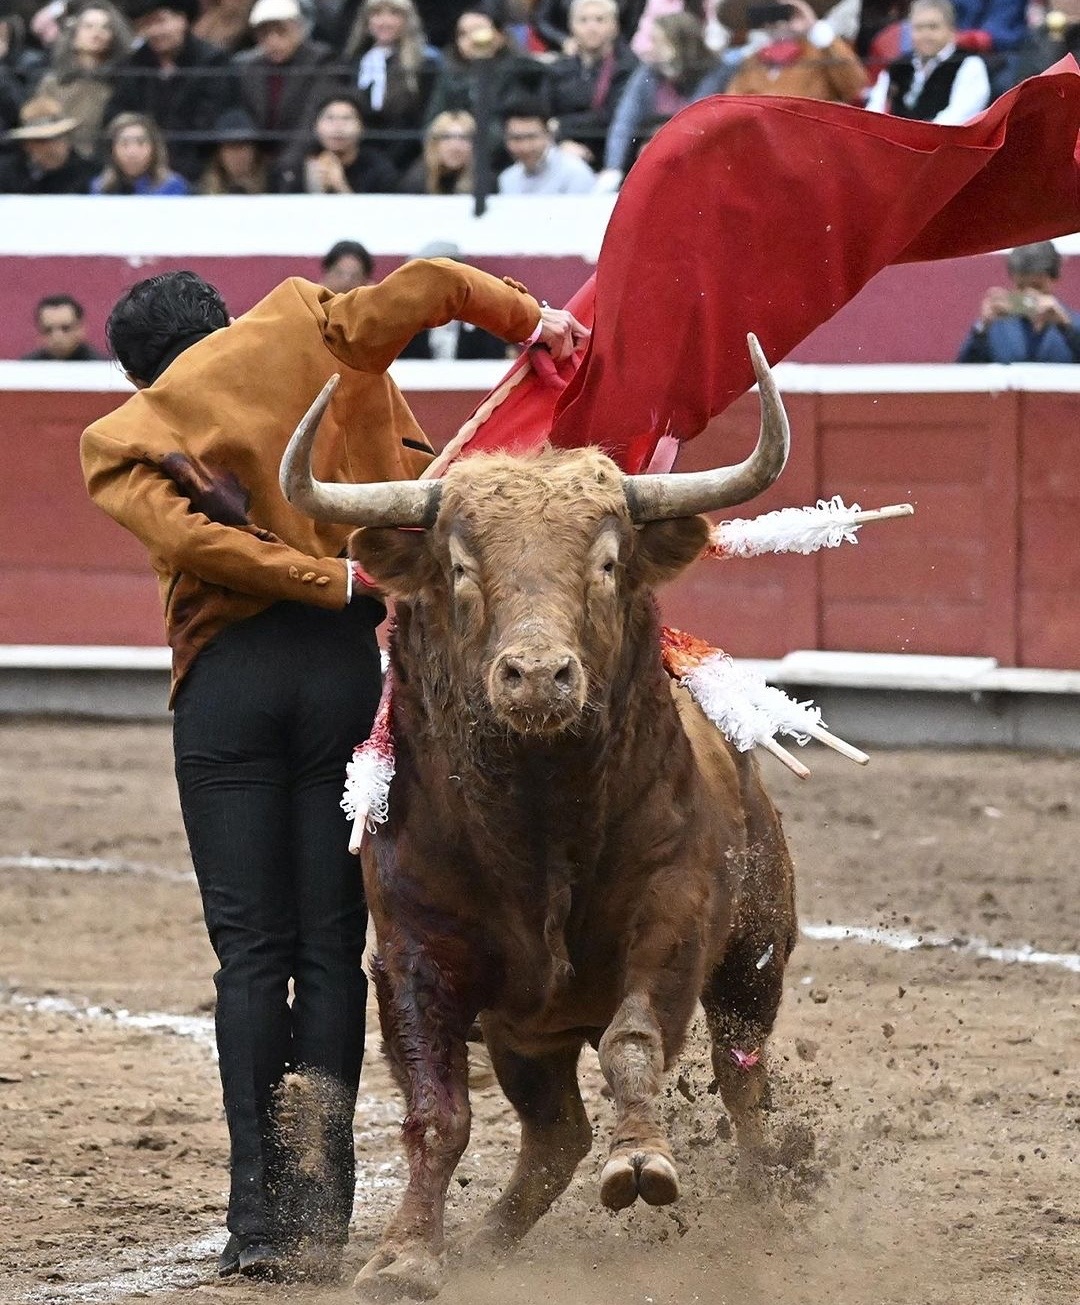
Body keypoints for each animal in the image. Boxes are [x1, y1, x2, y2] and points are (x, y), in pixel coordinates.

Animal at [284, 339, 803, 1305]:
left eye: (606, 562)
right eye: (459, 567)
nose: (535, 675)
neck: (536, 815)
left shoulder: (674, 918)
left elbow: (635, 1040)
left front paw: (641, 1161)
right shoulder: (413, 954)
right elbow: (436, 1111)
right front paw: (405, 1254)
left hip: (755, 957)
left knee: (740, 1077)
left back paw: (767, 1202)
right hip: (528, 1031)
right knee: (556, 1130)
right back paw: (487, 1241)